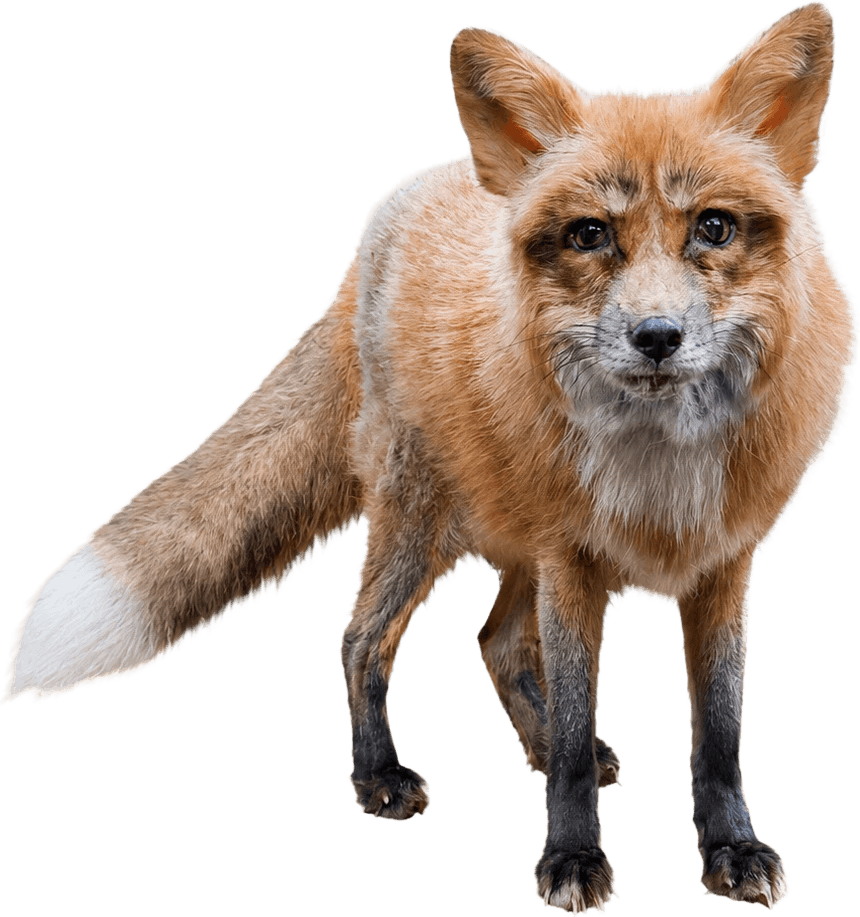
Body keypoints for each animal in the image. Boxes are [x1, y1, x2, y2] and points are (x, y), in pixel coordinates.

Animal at [3, 1, 857, 913]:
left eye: (713, 227)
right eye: (591, 235)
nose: (656, 337)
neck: (657, 464)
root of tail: (394, 209)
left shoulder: (720, 564)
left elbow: (719, 734)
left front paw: (730, 848)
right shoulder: (573, 560)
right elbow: (573, 723)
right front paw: (572, 856)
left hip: (514, 541)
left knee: (496, 641)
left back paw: (540, 748)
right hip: (420, 525)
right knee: (362, 639)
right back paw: (379, 777)